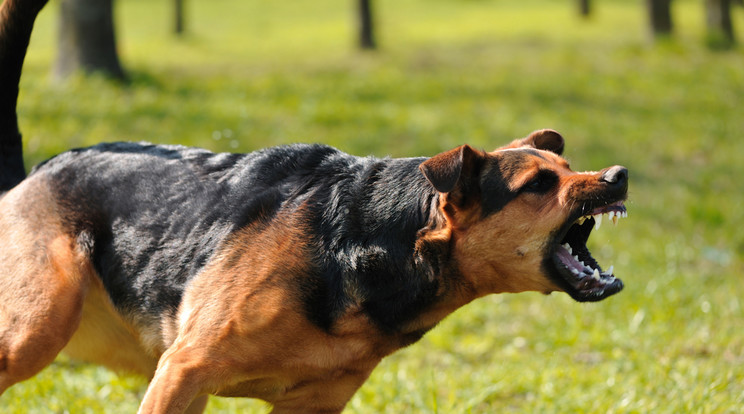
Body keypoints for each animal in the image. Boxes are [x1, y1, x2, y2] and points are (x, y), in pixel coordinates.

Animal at [0, 1, 628, 412]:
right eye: (538, 184)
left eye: (569, 167)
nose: (619, 176)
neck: (373, 243)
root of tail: (30, 175)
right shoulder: (182, 372)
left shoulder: (311, 402)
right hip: (36, 330)